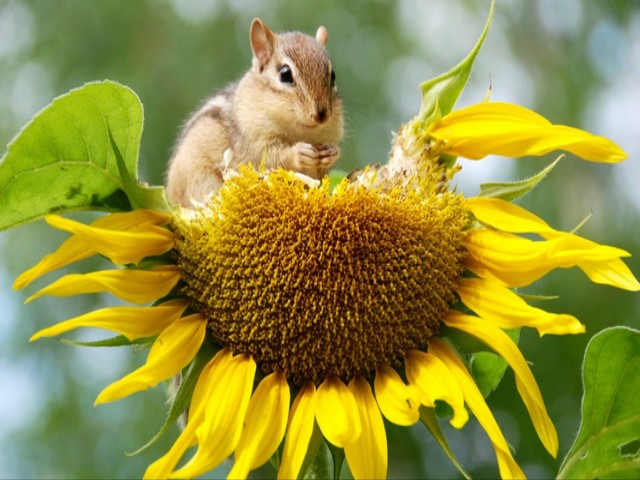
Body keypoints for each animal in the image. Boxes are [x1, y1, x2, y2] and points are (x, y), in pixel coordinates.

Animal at [166, 18, 344, 207]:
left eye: (333, 76)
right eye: (285, 74)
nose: (321, 115)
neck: (300, 131)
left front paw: (332, 152)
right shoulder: (254, 140)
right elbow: (272, 157)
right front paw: (299, 152)